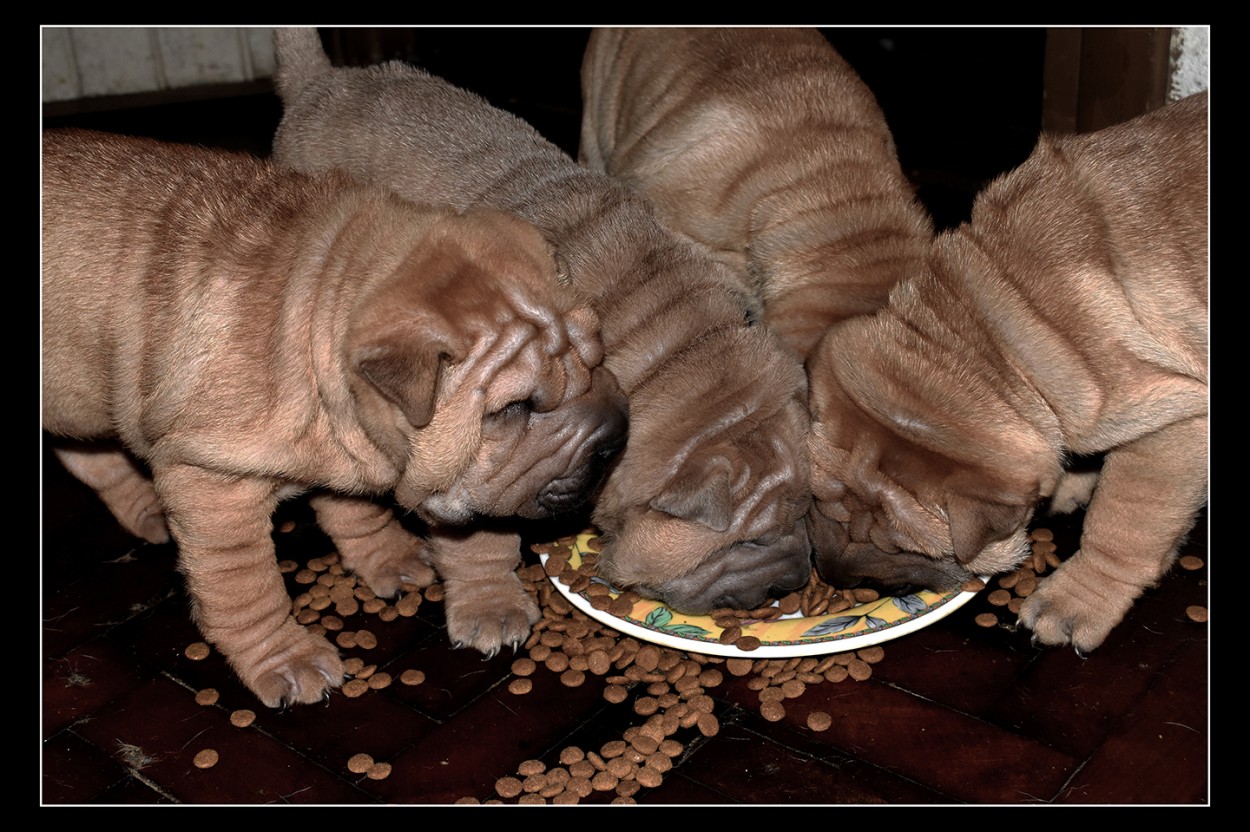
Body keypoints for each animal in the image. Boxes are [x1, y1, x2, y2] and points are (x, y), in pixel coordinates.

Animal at [44, 126, 630, 704]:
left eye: (598, 355)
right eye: (516, 408)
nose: (615, 439)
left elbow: (380, 516)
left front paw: (466, 591)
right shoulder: (211, 482)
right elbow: (244, 586)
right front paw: (286, 659)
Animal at [800, 89, 1210, 649]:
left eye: (904, 547)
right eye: (820, 501)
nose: (835, 577)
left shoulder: (1172, 423)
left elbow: (1123, 524)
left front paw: (1078, 599)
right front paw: (1075, 484)